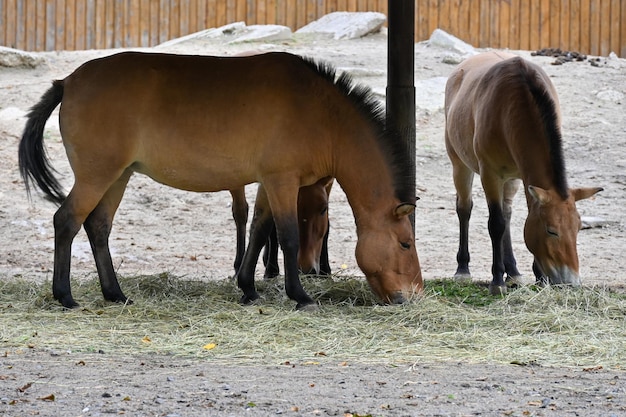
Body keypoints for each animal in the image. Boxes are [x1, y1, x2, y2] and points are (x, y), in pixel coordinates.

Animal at [20, 50, 420, 308]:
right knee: (66, 221)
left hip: (117, 177)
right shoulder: (282, 181)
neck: (320, 113)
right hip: (96, 176)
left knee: (98, 226)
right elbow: (287, 236)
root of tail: (68, 82)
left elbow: (260, 230)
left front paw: (248, 288)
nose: (413, 294)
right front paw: (300, 296)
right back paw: (65, 296)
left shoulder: (268, 183)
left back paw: (115, 294)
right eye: (405, 244)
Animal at [444, 51, 600, 292]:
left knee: (507, 213)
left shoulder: (524, 176)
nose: (571, 282)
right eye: (551, 230)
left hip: (511, 179)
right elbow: (496, 224)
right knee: (465, 209)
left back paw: (514, 272)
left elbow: (518, 217)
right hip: (460, 165)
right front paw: (497, 281)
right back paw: (463, 269)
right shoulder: (490, 175)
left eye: (578, 228)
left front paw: (539, 276)